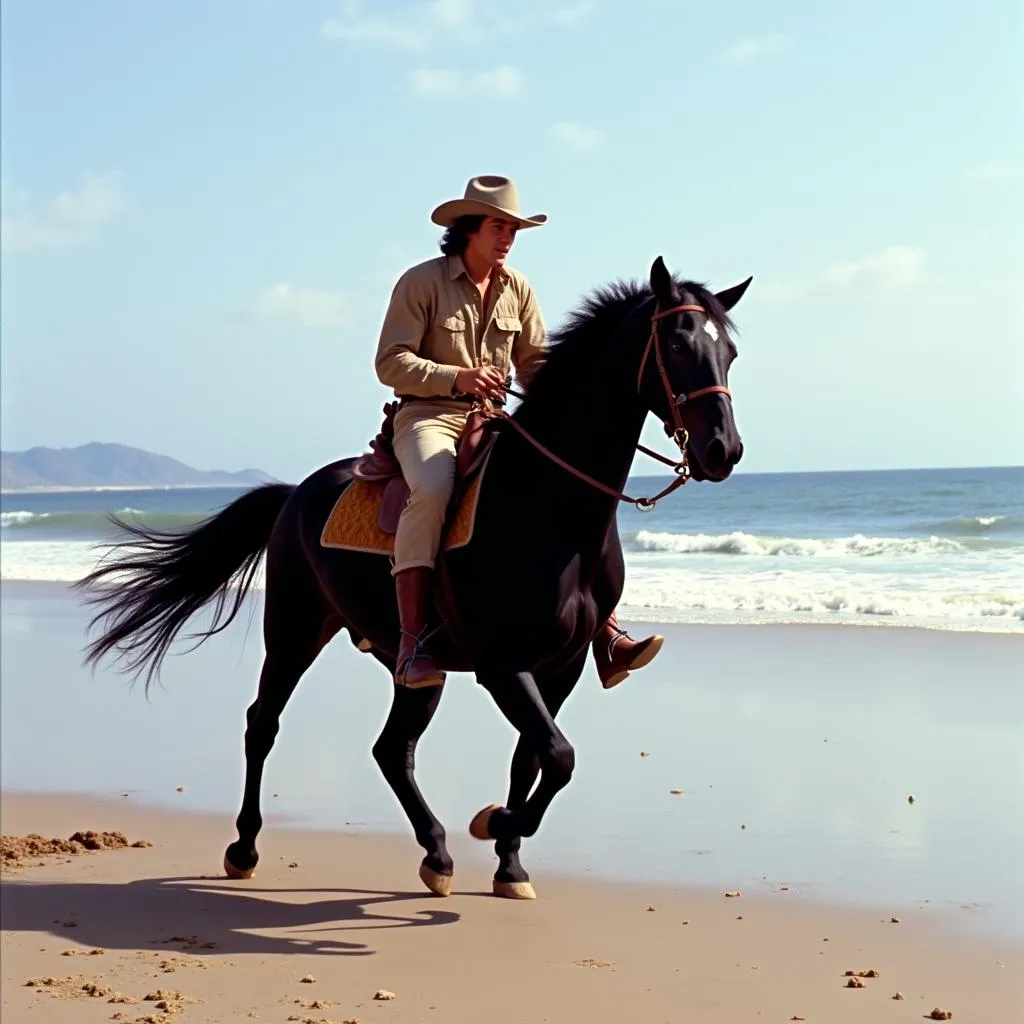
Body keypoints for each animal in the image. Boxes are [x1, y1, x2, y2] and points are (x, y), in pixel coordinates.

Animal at [75, 253, 753, 897]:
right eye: (678, 345)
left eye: (729, 351)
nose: (723, 451)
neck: (548, 507)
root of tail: (295, 494)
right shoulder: (502, 665)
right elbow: (558, 756)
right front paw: (495, 822)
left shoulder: (559, 666)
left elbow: (534, 760)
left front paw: (509, 864)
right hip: (294, 633)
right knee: (262, 724)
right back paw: (244, 849)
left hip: (412, 666)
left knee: (391, 749)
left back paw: (437, 853)